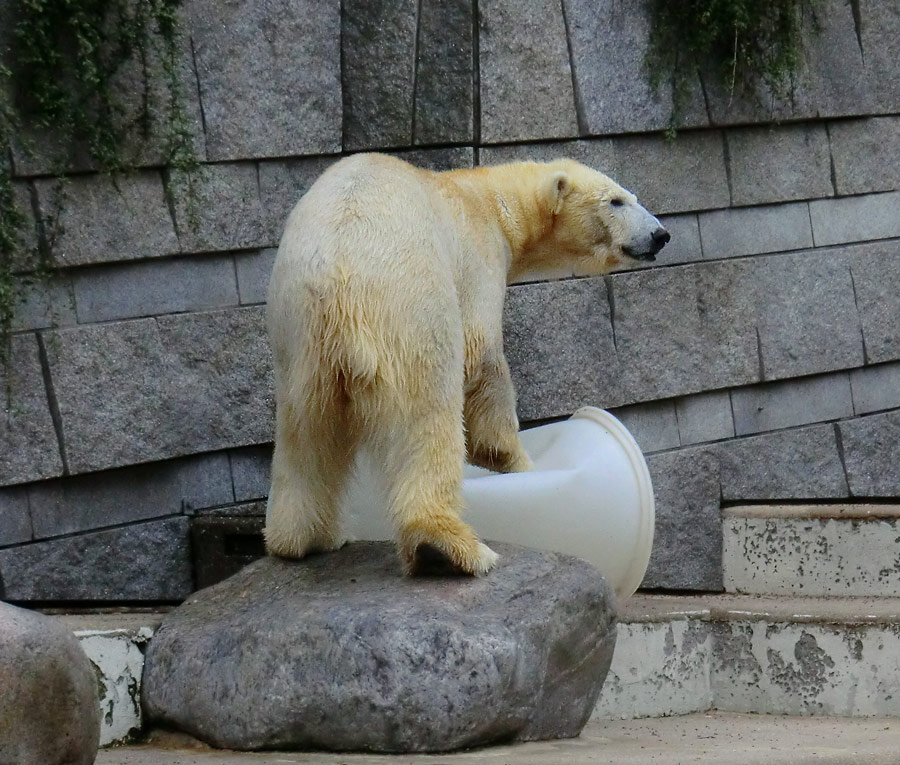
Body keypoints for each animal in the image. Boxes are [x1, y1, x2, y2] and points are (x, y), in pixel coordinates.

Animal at [262, 154, 668, 572]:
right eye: (616, 201)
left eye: (631, 197)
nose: (660, 235)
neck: (492, 199)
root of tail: (335, 272)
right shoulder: (477, 256)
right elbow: (482, 355)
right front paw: (515, 459)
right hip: (408, 303)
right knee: (427, 413)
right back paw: (445, 546)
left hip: (295, 334)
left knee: (305, 434)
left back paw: (306, 539)